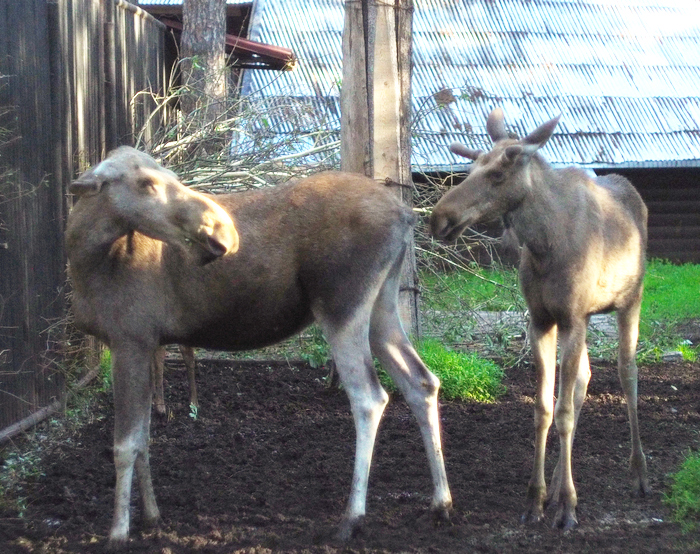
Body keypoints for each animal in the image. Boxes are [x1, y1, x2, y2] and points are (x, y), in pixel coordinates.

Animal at [67, 147, 454, 548]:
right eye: (146, 182)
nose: (220, 230)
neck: (85, 261)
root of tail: (406, 215)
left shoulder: (129, 340)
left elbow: (125, 444)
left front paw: (118, 532)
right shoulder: (145, 344)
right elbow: (144, 438)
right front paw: (152, 518)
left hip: (341, 305)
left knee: (369, 397)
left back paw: (351, 518)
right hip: (382, 306)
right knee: (421, 381)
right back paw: (440, 504)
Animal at [432, 108, 652, 528]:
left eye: (498, 174)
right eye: (471, 167)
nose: (439, 218)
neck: (543, 246)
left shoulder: (574, 317)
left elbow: (563, 410)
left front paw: (567, 505)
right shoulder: (542, 319)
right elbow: (544, 408)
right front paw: (536, 497)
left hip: (630, 300)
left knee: (627, 373)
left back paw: (638, 474)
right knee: (584, 378)